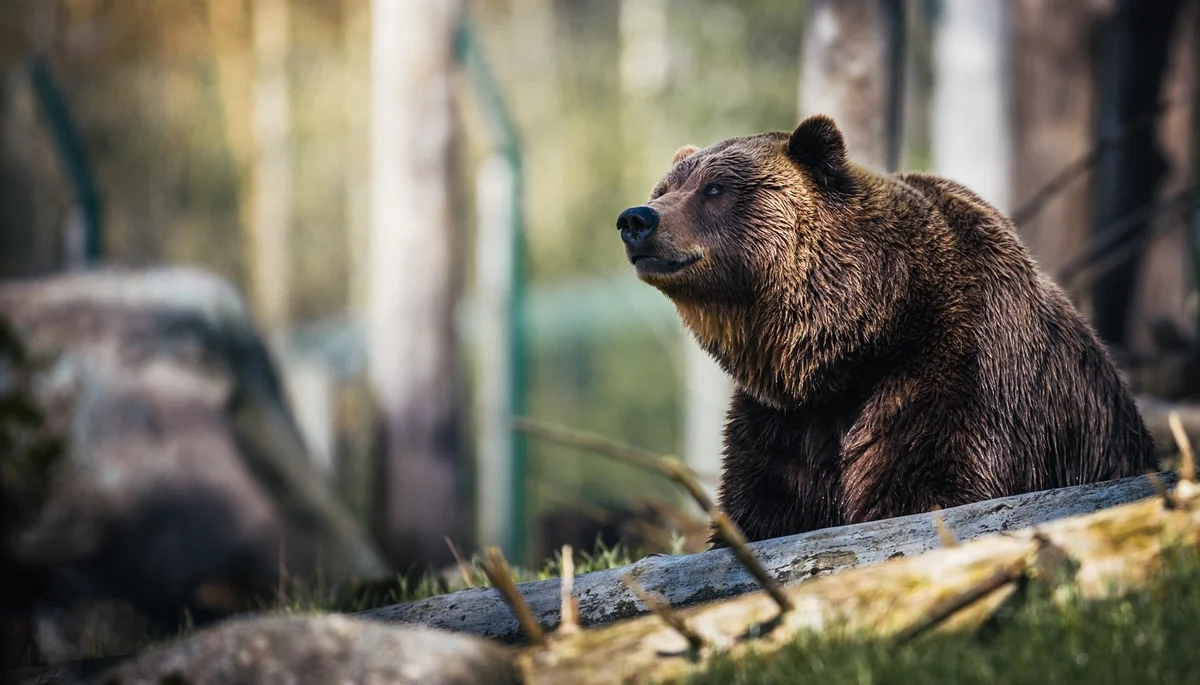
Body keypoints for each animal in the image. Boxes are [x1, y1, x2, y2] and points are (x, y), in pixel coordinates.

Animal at [614, 116, 1156, 547]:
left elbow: (928, 486)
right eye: (665, 189)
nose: (636, 218)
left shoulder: (958, 372)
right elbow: (764, 505)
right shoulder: (785, 421)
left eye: (714, 189)